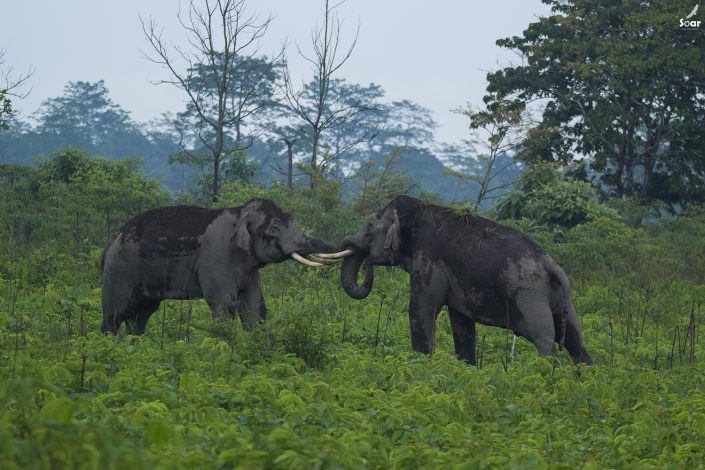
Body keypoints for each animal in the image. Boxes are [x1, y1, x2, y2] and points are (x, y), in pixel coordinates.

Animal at [101, 198, 338, 334]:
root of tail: (112, 240)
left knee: (141, 315)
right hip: (120, 271)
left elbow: (254, 306)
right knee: (116, 314)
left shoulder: (249, 269)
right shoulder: (217, 259)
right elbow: (225, 305)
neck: (240, 212)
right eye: (274, 229)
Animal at [328, 195, 592, 364]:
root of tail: (550, 264)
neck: (418, 208)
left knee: (545, 341)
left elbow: (421, 309)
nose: (369, 264)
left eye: (370, 226)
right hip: (561, 299)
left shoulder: (429, 259)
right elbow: (461, 323)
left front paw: (421, 365)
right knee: (576, 343)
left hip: (530, 296)